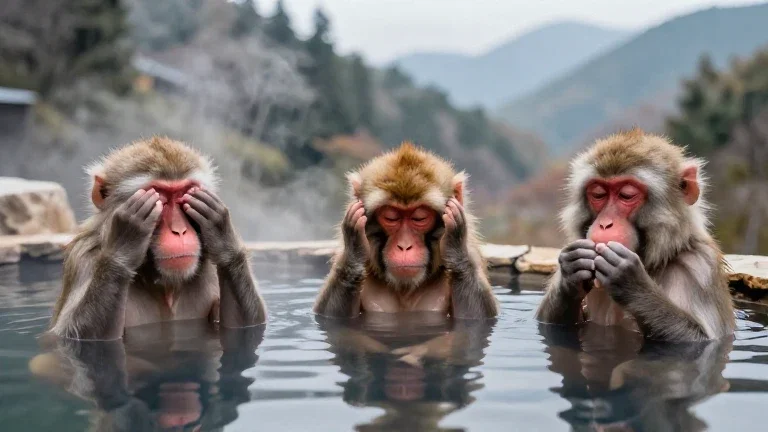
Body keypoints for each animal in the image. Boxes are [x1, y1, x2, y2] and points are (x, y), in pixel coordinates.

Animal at [48, 136, 266, 340]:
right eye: (160, 198)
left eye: (184, 195)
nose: (179, 230)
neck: (165, 284)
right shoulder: (84, 257)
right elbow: (76, 333)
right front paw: (125, 241)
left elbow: (250, 323)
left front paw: (222, 232)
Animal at [313, 141, 498, 319]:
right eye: (391, 218)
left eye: (419, 218)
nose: (404, 246)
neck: (405, 289)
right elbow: (328, 314)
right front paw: (355, 246)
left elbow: (474, 317)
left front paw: (455, 242)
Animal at [535, 128, 735, 342]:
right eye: (598, 194)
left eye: (626, 195)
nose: (605, 224)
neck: (656, 262)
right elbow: (548, 323)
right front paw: (570, 272)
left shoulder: (700, 265)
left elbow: (701, 338)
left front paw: (631, 282)